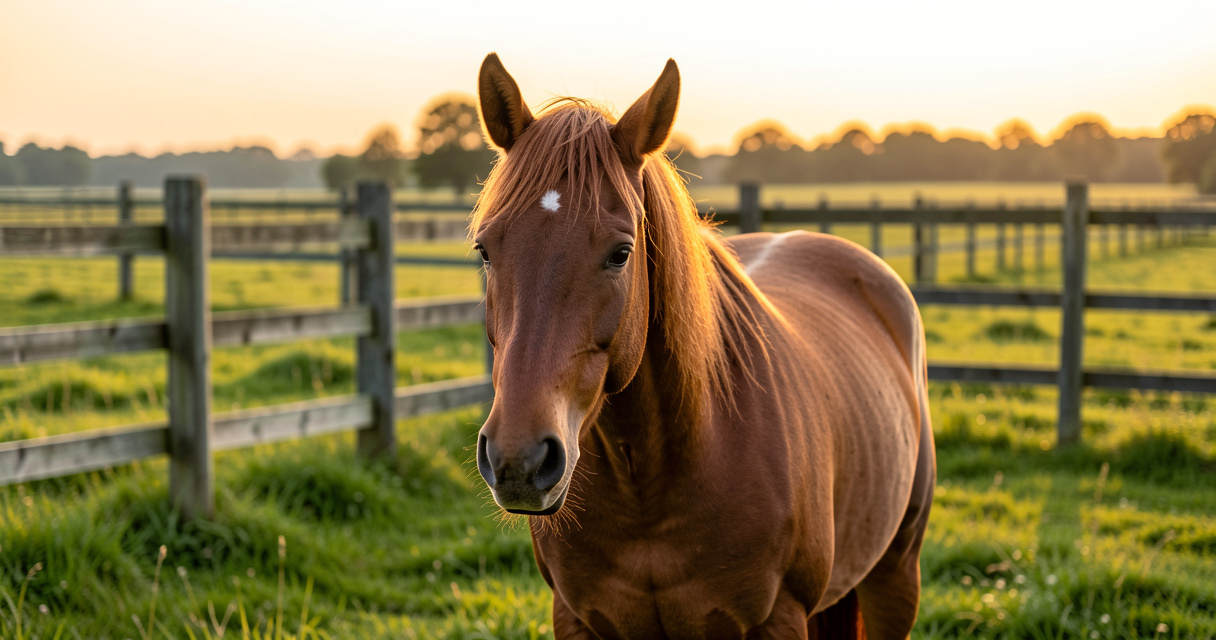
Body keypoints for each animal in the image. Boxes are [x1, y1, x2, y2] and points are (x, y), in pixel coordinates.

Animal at [470, 52, 936, 639]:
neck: (650, 487)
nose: (521, 460)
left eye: (621, 253)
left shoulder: (779, 620)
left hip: (897, 574)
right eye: (485, 250)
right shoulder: (574, 618)